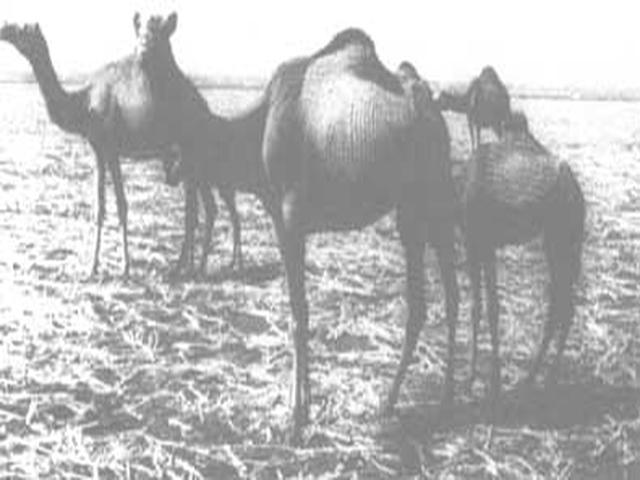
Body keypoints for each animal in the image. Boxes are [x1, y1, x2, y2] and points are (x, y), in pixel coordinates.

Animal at [0, 13, 240, 277]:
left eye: (22, 28)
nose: (4, 29)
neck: (84, 103)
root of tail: (204, 106)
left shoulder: (108, 148)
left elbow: (117, 206)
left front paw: (110, 267)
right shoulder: (100, 150)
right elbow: (103, 206)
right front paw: (100, 265)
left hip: (192, 154)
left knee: (198, 212)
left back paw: (189, 267)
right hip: (192, 162)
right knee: (203, 210)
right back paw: (191, 266)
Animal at [170, 29, 460, 444]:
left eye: (185, 142)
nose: (172, 171)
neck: (258, 128)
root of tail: (435, 115)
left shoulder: (290, 218)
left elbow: (298, 313)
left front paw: (296, 418)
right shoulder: (288, 222)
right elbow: (301, 310)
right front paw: (300, 404)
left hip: (430, 201)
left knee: (447, 295)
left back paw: (434, 401)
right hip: (412, 213)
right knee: (431, 301)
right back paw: (405, 401)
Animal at [461, 110, 585, 402]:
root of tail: (577, 192)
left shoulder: (478, 243)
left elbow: (484, 307)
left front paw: (482, 382)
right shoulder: (481, 245)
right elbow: (484, 306)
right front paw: (485, 380)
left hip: (561, 241)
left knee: (562, 305)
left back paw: (543, 379)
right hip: (559, 242)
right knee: (561, 303)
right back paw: (534, 379)